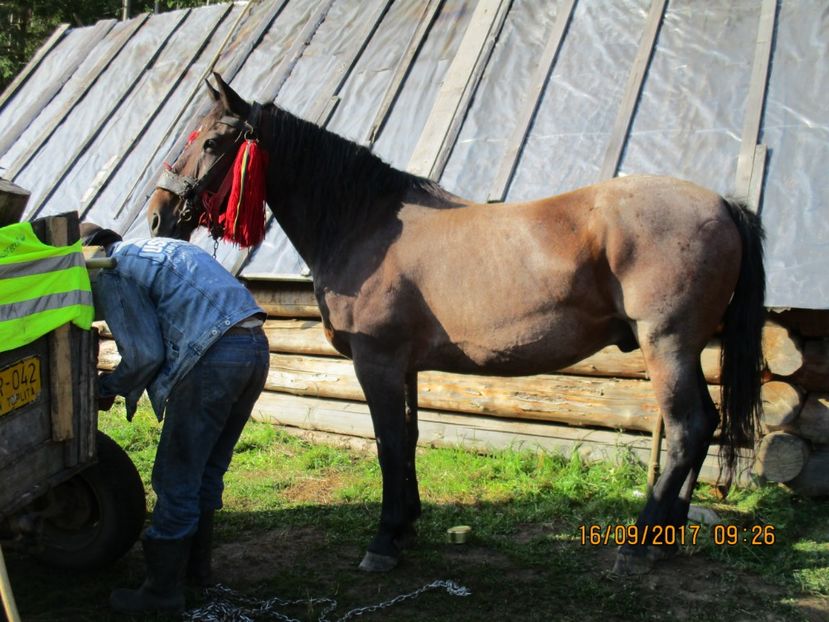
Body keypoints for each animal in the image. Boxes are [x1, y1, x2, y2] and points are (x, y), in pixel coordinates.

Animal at [144, 75, 764, 576]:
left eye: (213, 142)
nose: (158, 215)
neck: (364, 223)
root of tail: (722, 203)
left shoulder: (378, 362)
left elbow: (388, 443)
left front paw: (383, 542)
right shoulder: (406, 366)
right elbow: (410, 437)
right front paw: (405, 526)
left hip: (667, 344)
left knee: (685, 428)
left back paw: (638, 546)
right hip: (686, 348)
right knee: (705, 425)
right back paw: (665, 541)